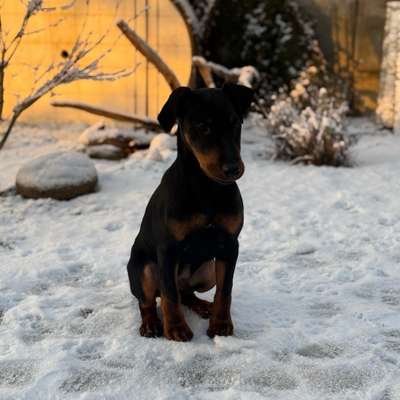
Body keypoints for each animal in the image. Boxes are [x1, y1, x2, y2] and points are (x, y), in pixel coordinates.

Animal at [126, 83, 253, 340]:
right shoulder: (168, 249)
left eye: (235, 123)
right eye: (203, 127)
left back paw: (203, 306)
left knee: (185, 292)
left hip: (208, 270)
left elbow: (225, 290)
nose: (233, 169)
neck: (207, 188)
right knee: (149, 300)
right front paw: (176, 328)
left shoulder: (229, 244)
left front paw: (221, 324)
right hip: (144, 269)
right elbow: (169, 296)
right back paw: (151, 324)